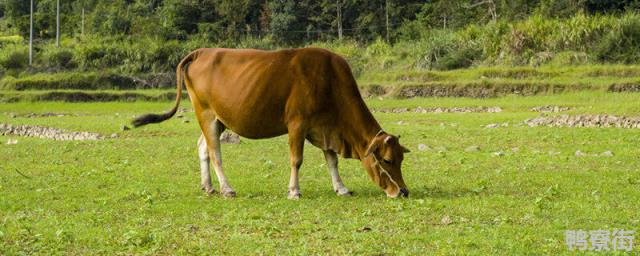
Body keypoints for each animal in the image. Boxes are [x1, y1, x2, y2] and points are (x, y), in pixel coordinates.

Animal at [131, 48, 410, 200]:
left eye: (401, 158)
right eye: (387, 160)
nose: (403, 192)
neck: (329, 81)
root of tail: (201, 52)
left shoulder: (325, 128)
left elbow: (332, 160)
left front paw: (341, 188)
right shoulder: (297, 124)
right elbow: (297, 160)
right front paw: (294, 191)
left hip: (219, 119)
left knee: (202, 147)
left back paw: (208, 186)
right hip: (206, 114)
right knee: (214, 152)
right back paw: (226, 188)